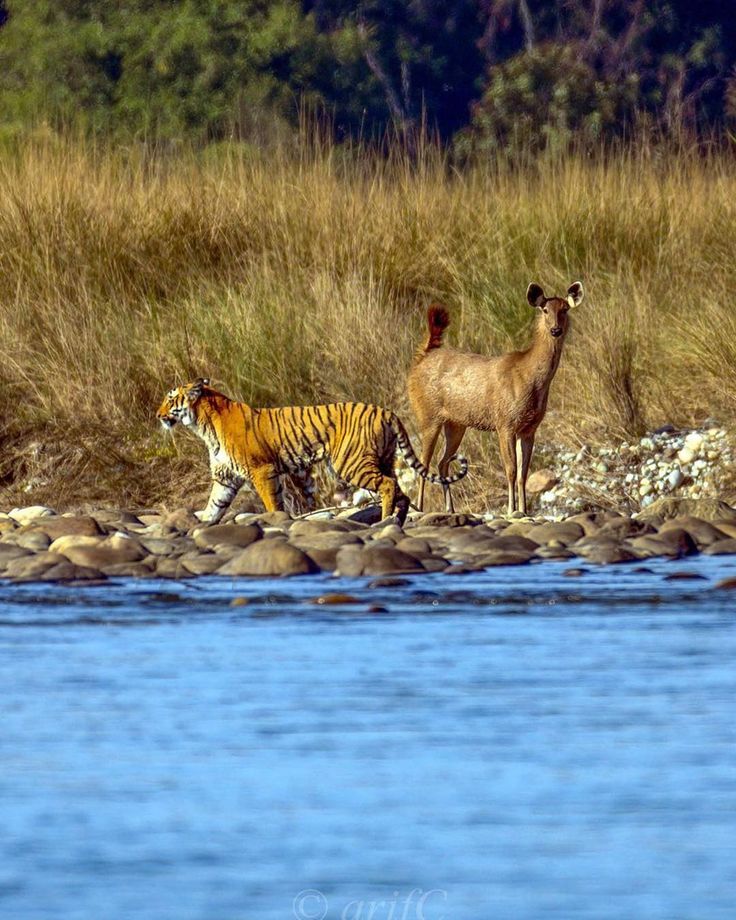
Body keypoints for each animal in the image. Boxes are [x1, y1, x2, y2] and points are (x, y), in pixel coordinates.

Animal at [156, 378, 468, 524]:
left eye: (170, 399)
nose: (158, 415)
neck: (204, 426)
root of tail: (386, 410)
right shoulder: (226, 478)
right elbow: (214, 506)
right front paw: (200, 525)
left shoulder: (262, 471)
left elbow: (272, 503)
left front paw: (276, 522)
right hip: (383, 459)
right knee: (400, 490)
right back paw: (395, 521)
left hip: (351, 464)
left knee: (389, 485)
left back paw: (384, 521)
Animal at [406, 280, 584, 512]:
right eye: (545, 309)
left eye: (565, 309)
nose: (555, 329)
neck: (529, 378)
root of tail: (422, 358)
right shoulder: (505, 422)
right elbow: (511, 469)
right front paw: (511, 509)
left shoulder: (529, 428)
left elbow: (524, 473)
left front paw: (524, 510)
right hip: (428, 414)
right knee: (423, 462)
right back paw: (419, 507)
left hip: (456, 423)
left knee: (442, 461)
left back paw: (450, 508)